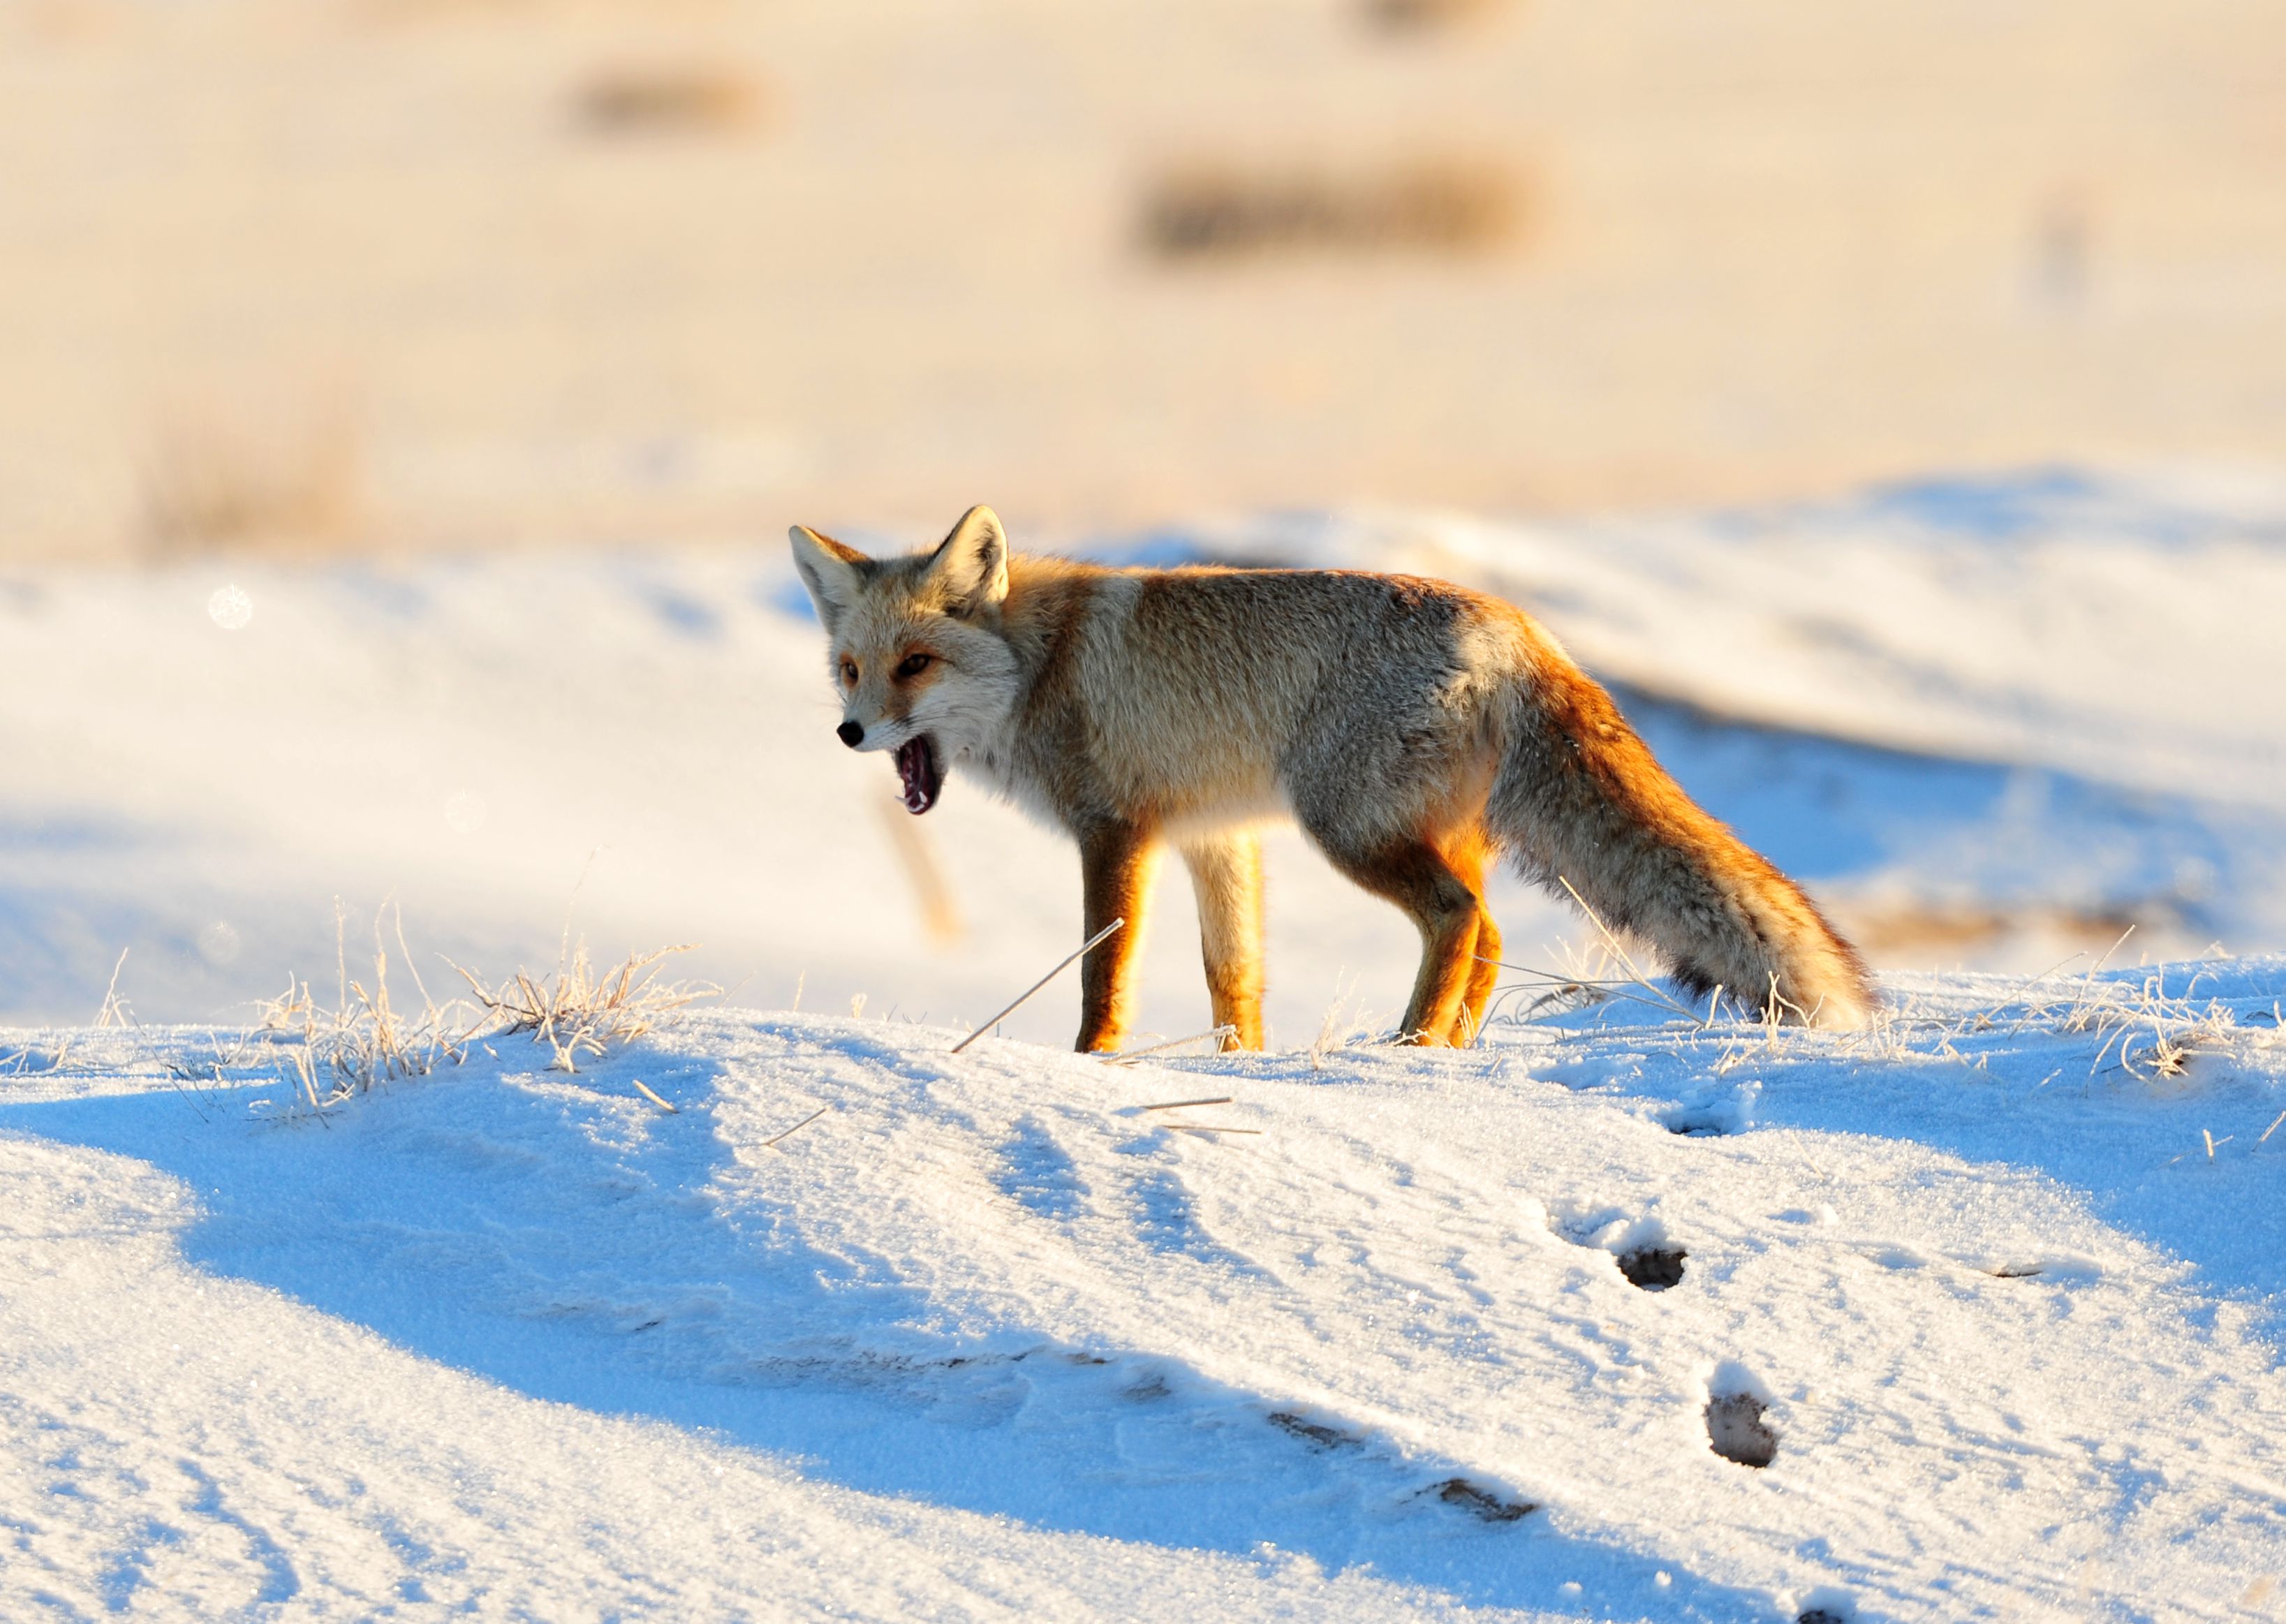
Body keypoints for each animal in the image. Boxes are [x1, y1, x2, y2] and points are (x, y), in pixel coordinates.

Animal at [790, 508, 1874, 1056]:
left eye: (915, 665)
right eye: (850, 668)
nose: (849, 732)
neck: (1040, 660)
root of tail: (1521, 629)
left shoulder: (1116, 828)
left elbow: (1105, 968)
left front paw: (1092, 1062)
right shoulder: (1214, 836)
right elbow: (1232, 976)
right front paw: (1243, 1065)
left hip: (1350, 830)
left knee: (1456, 919)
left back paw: (1410, 1043)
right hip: (1424, 833)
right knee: (1489, 933)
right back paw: (1450, 1045)